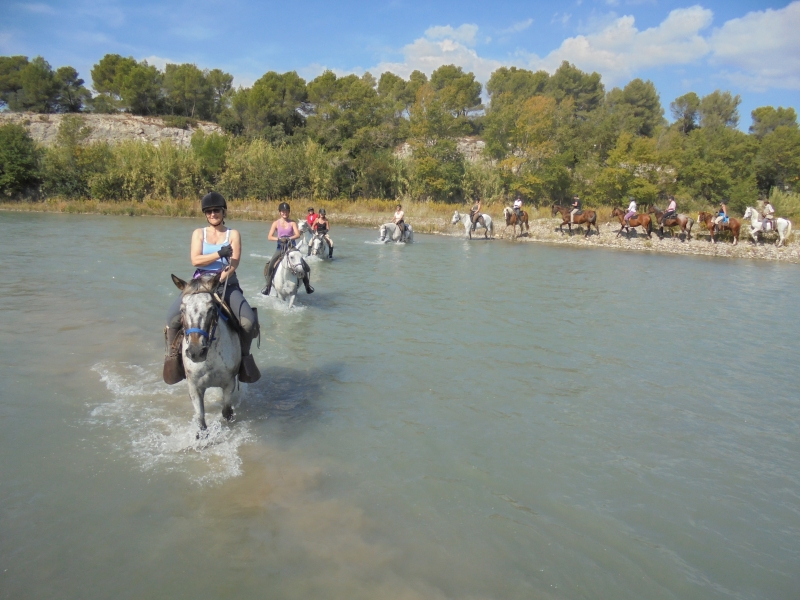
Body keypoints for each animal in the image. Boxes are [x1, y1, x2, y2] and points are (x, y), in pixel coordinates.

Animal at [170, 272, 239, 432]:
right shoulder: (194, 388)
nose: (196, 352)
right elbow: (201, 421)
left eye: (211, 308)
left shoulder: (229, 383)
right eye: (182, 309)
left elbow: (226, 412)